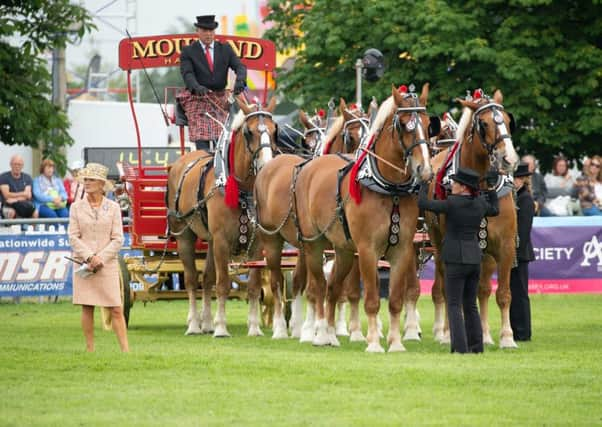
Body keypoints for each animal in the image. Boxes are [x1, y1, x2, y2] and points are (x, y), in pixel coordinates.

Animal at [164, 95, 276, 340]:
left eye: (275, 131)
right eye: (249, 132)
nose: (266, 166)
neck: (241, 191)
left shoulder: (256, 244)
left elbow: (253, 287)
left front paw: (254, 328)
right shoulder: (222, 241)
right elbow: (223, 283)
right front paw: (222, 328)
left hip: (211, 241)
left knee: (206, 279)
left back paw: (206, 323)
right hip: (185, 235)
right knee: (191, 280)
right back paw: (194, 324)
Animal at [252, 98, 366, 342]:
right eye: (350, 137)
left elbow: (341, 287)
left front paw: (344, 329)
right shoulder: (314, 245)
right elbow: (314, 286)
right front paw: (312, 330)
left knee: (297, 280)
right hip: (271, 239)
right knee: (275, 280)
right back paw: (280, 327)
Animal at [290, 83, 432, 352]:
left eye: (430, 125)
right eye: (404, 124)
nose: (425, 169)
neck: (390, 191)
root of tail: (309, 168)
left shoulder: (403, 250)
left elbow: (395, 300)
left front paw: (396, 343)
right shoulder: (367, 250)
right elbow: (372, 300)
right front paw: (374, 343)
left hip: (343, 250)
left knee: (333, 288)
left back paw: (331, 335)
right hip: (313, 246)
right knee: (318, 287)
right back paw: (319, 333)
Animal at [414, 89, 516, 348]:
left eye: (508, 120)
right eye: (484, 123)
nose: (509, 159)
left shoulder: (505, 246)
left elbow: (502, 293)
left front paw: (506, 337)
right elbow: (455, 292)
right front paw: (452, 333)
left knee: (482, 290)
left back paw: (485, 334)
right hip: (439, 245)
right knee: (444, 289)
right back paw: (445, 332)